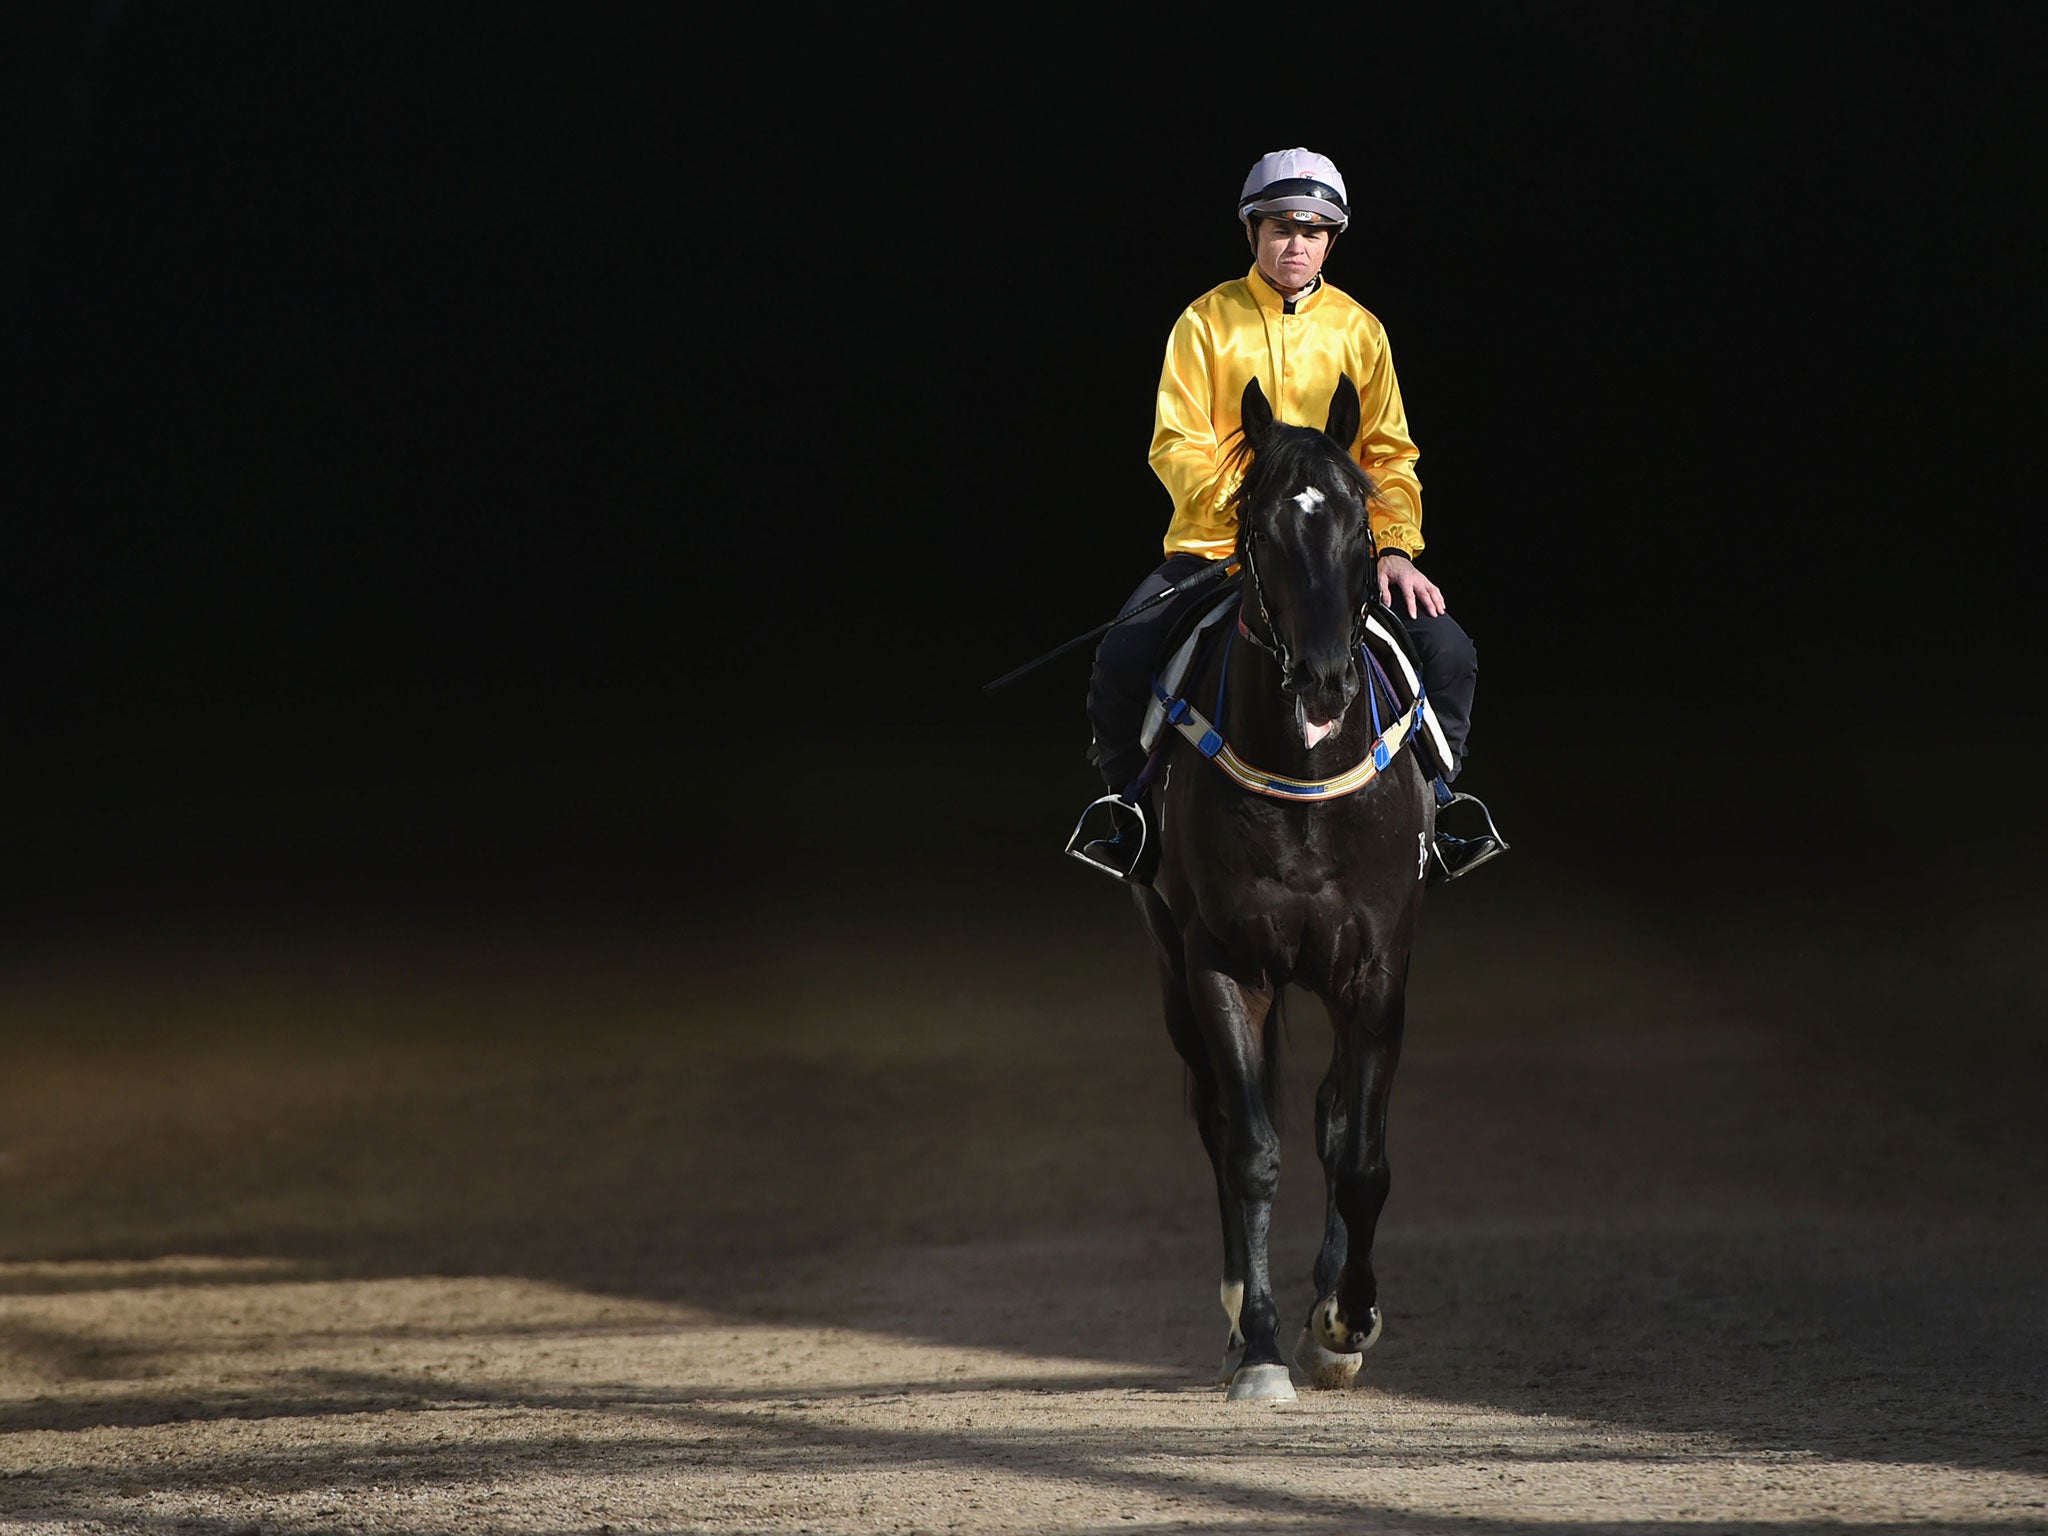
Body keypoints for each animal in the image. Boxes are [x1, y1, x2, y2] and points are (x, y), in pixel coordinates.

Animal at [1130, 376, 1433, 1409]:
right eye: (1259, 528)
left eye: (1360, 523)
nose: (1330, 682)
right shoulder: (1223, 963)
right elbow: (1251, 1152)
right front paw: (1260, 1345)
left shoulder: (1376, 968)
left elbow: (1361, 1155)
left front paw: (1344, 1321)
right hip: (1174, 971)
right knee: (1224, 1123)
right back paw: (1240, 1323)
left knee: (1331, 1121)